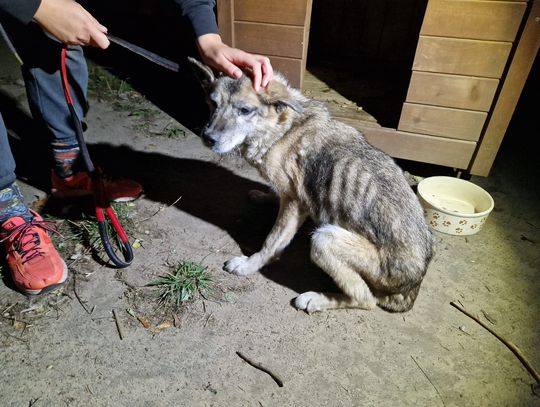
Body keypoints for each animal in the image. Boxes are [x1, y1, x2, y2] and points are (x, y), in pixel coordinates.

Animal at [190, 56, 434, 312]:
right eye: (212, 103)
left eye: (244, 110)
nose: (208, 138)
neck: (282, 129)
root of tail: (412, 287)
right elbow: (275, 195)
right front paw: (264, 196)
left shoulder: (294, 205)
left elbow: (271, 243)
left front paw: (248, 265)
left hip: (322, 239)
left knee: (366, 300)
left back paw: (315, 299)